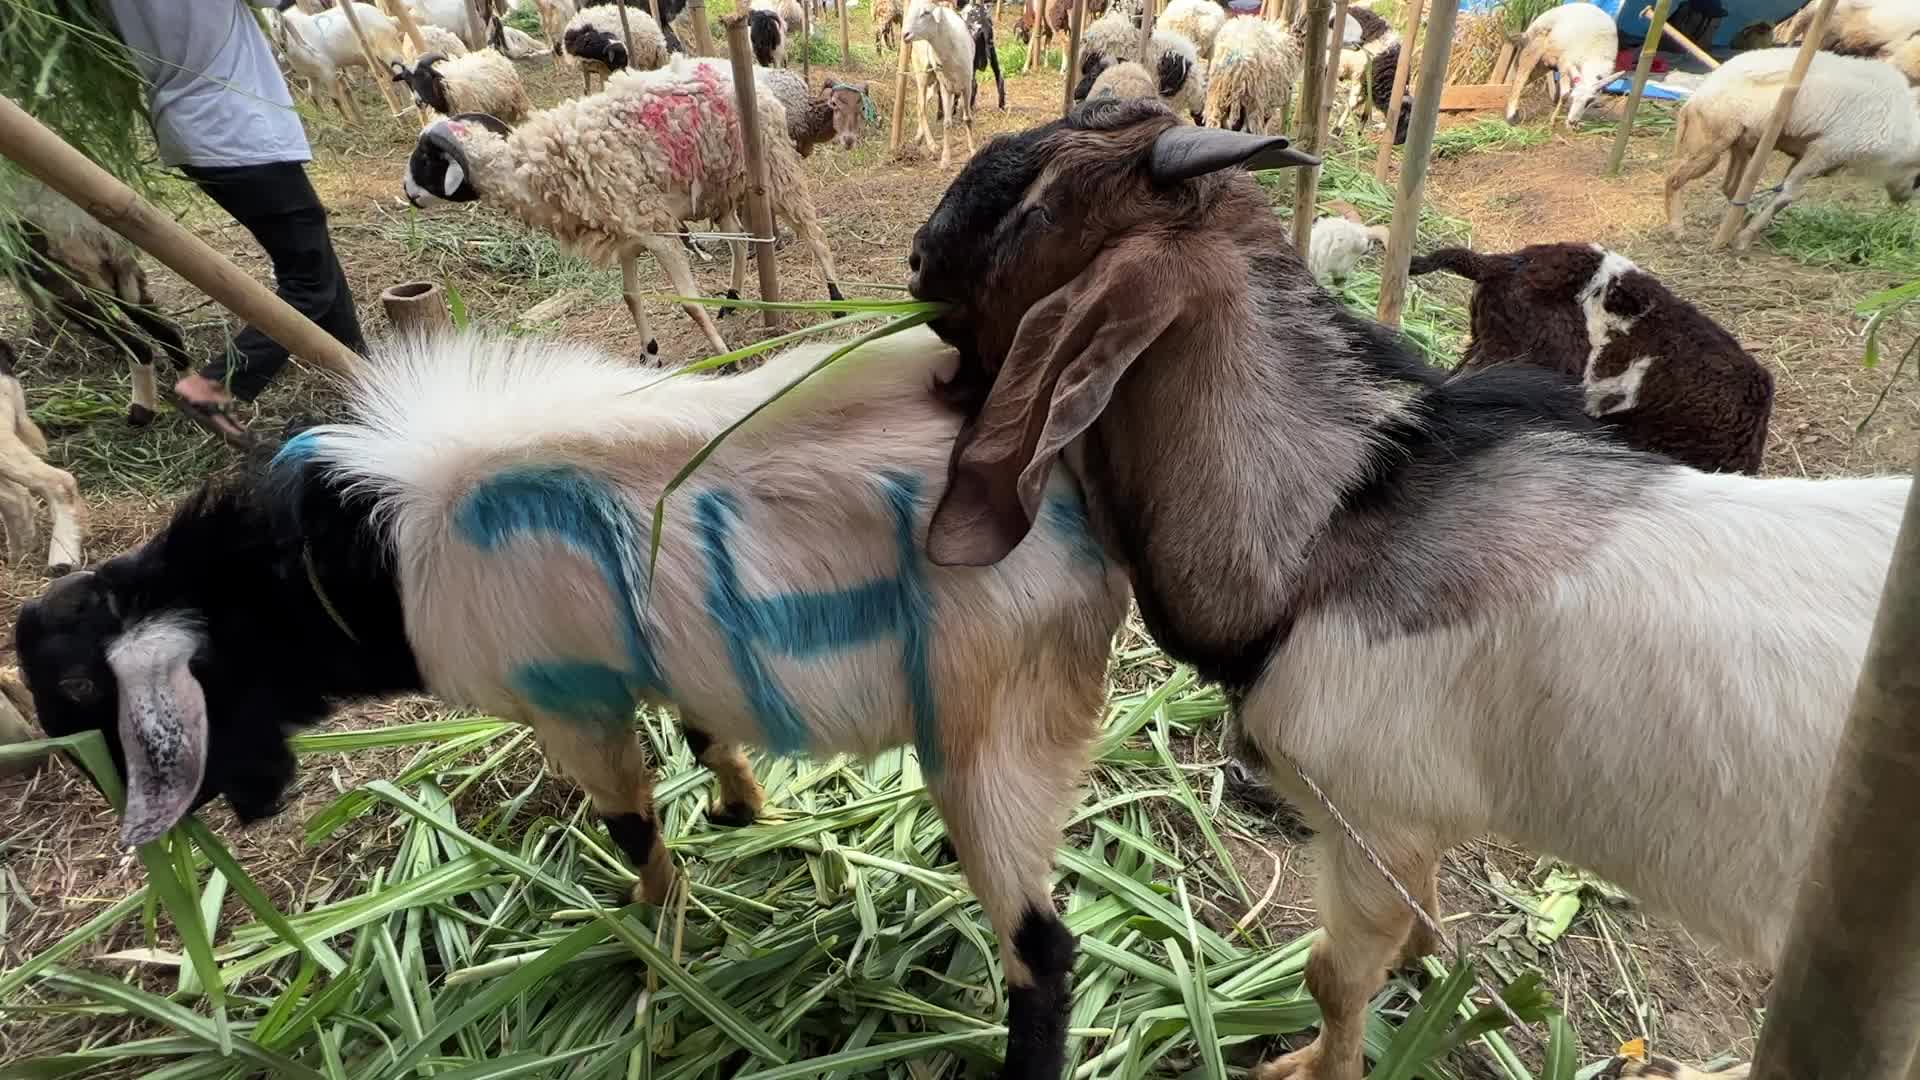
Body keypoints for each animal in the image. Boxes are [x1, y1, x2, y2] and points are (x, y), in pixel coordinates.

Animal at [16, 328, 1126, 1080]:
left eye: (80, 690)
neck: (361, 563)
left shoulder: (574, 703)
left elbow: (629, 820)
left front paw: (648, 924)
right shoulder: (663, 668)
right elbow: (703, 734)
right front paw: (741, 809)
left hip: (994, 733)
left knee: (1044, 949)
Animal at [905, 96, 1911, 1080]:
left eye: (1037, 206)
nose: (914, 261)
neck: (1331, 533)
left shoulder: (1372, 816)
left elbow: (1330, 977)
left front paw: (1314, 1064)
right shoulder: (1407, 829)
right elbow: (1419, 911)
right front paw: (1426, 966)